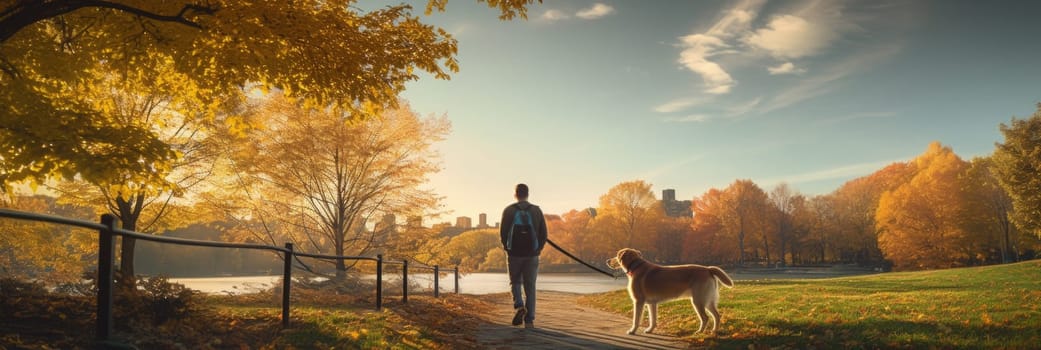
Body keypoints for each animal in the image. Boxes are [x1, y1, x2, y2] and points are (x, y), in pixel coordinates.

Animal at [607, 247, 737, 335]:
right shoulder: (652, 303)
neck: (636, 266)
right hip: (708, 301)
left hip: (698, 301)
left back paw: (699, 332)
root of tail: (707, 269)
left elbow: (636, 319)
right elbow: (653, 320)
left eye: (617, 255)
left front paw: (632, 331)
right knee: (716, 316)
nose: (607, 261)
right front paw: (650, 330)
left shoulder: (638, 301)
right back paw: (714, 331)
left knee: (705, 318)